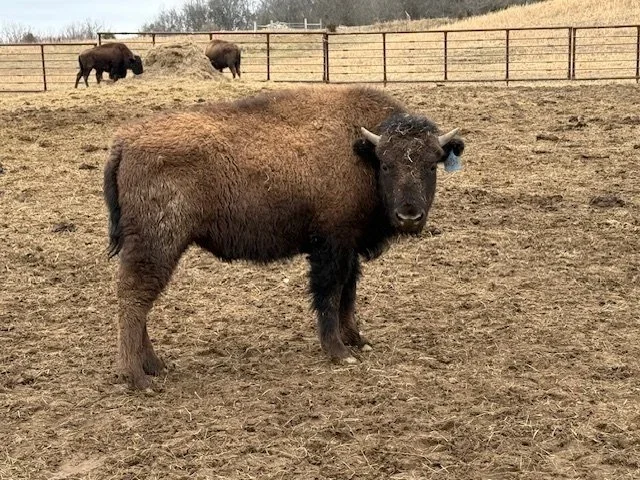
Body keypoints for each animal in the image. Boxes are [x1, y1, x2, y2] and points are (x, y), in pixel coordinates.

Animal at [104, 86, 465, 389]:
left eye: (431, 165)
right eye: (386, 165)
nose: (409, 216)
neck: (362, 153)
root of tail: (125, 141)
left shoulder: (349, 247)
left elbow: (348, 292)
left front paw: (357, 340)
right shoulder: (330, 246)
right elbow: (330, 295)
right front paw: (339, 351)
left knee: (139, 300)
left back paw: (155, 365)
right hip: (157, 245)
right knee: (134, 298)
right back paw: (138, 378)